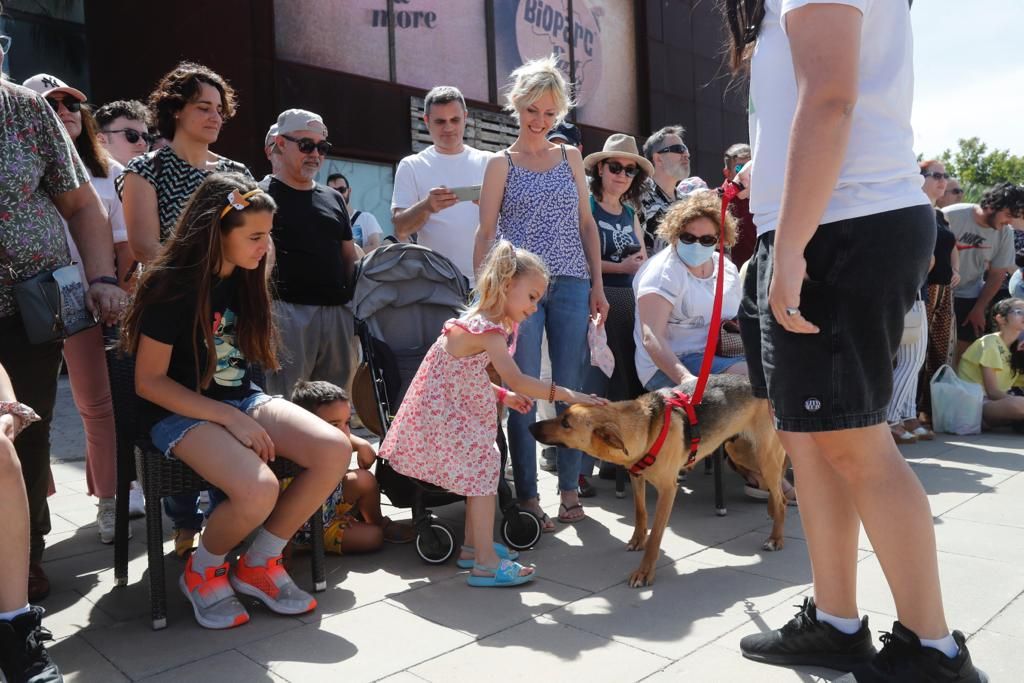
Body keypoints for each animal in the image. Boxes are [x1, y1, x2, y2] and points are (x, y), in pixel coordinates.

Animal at [532, 374, 786, 589]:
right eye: (561, 415)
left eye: (566, 423)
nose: (530, 426)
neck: (646, 428)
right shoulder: (636, 477)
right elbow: (640, 512)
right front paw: (637, 540)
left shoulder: (668, 489)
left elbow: (655, 537)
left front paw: (644, 573)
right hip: (740, 452)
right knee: (778, 491)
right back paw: (773, 514)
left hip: (762, 456)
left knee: (781, 497)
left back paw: (775, 538)